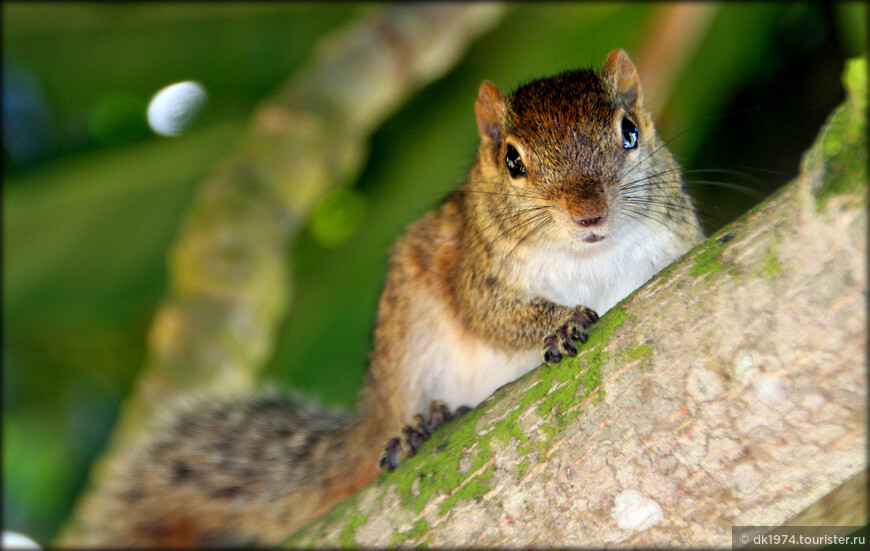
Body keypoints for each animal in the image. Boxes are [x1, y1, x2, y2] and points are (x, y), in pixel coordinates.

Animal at [63, 48, 700, 548]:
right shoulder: (476, 275)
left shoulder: (674, 246)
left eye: (630, 132)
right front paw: (561, 322)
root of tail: (375, 412)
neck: (591, 260)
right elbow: (494, 317)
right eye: (513, 161)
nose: (588, 213)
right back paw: (423, 425)